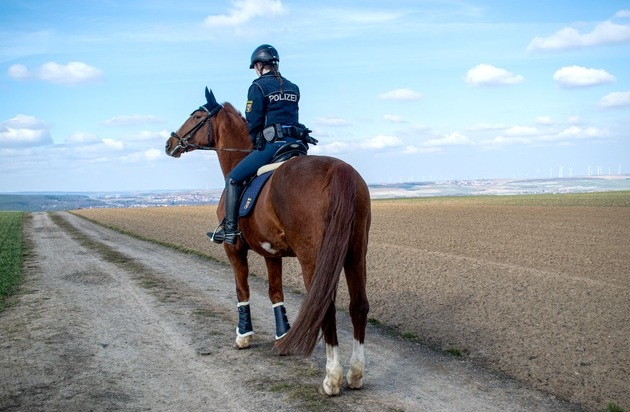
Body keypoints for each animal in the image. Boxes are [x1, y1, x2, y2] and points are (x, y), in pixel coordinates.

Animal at [165, 87, 372, 396]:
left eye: (197, 116)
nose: (170, 143)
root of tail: (339, 170)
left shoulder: (234, 249)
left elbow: (242, 290)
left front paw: (243, 335)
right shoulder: (271, 253)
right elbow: (276, 293)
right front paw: (282, 334)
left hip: (313, 259)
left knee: (325, 307)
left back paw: (332, 378)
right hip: (355, 254)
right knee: (358, 306)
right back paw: (355, 374)